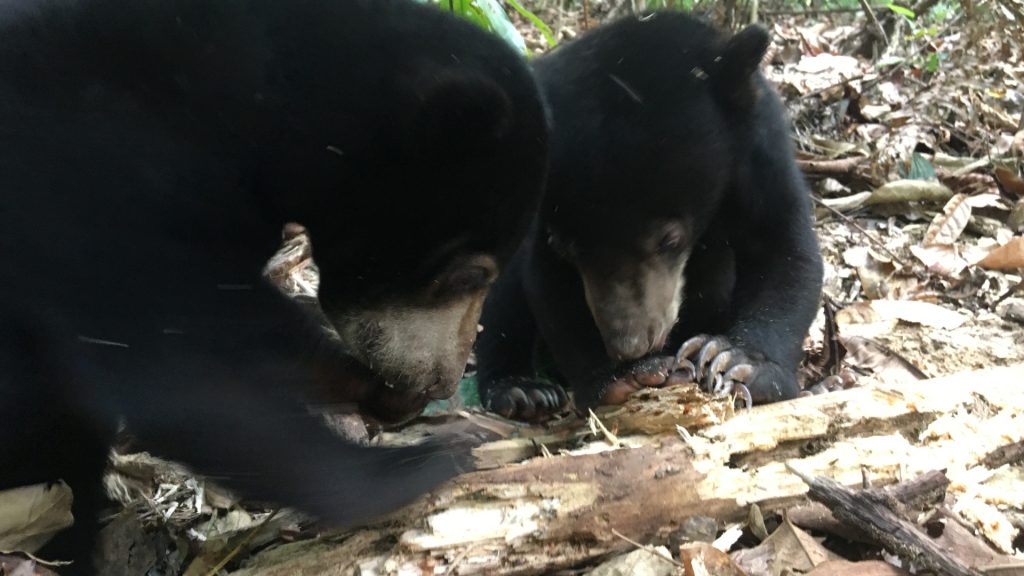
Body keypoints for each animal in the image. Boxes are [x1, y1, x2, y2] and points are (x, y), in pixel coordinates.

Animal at [473, 11, 823, 420]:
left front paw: (733, 360)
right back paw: (522, 389)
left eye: (669, 239)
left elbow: (786, 253)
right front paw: (622, 376)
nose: (631, 344)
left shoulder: (760, 157)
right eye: (568, 248)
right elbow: (548, 284)